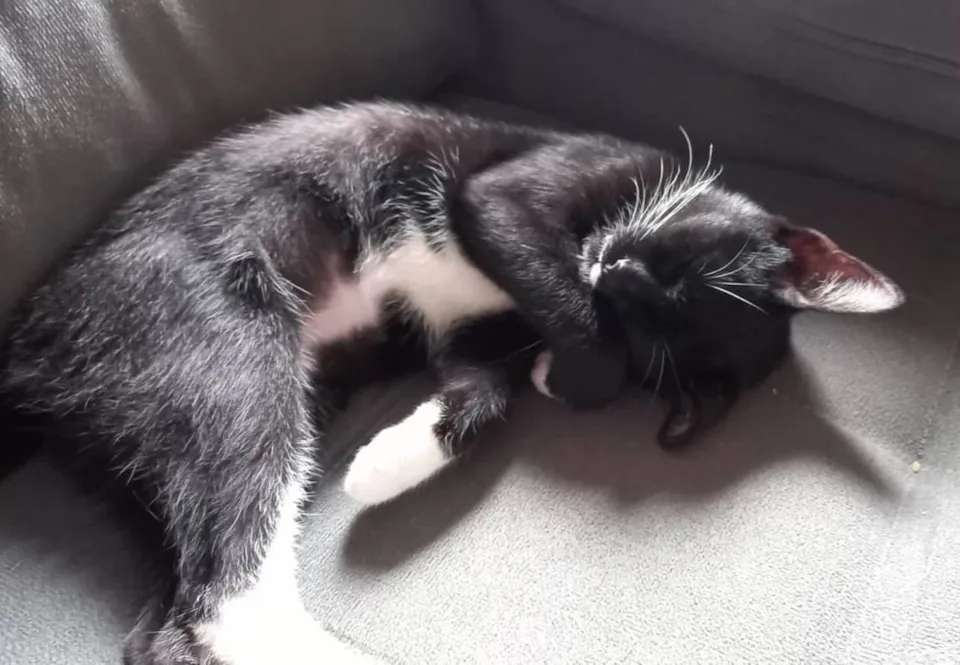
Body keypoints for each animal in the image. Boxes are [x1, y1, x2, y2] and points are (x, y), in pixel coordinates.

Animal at [0, 102, 904, 665]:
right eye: (678, 263)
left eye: (654, 320)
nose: (611, 271)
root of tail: (31, 349)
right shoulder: (519, 188)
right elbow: (530, 258)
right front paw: (572, 359)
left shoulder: (486, 333)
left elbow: (488, 387)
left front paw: (391, 458)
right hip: (219, 343)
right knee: (230, 587)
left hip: (153, 444)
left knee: (175, 614)